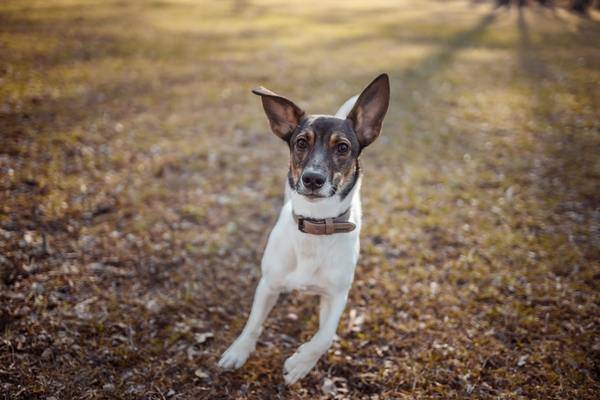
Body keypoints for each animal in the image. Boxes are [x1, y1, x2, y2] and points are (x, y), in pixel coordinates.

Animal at [218, 72, 392, 384]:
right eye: (301, 142)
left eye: (343, 147)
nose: (312, 179)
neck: (315, 225)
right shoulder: (268, 284)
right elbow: (253, 323)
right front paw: (238, 350)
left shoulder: (337, 295)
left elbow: (325, 337)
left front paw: (300, 363)